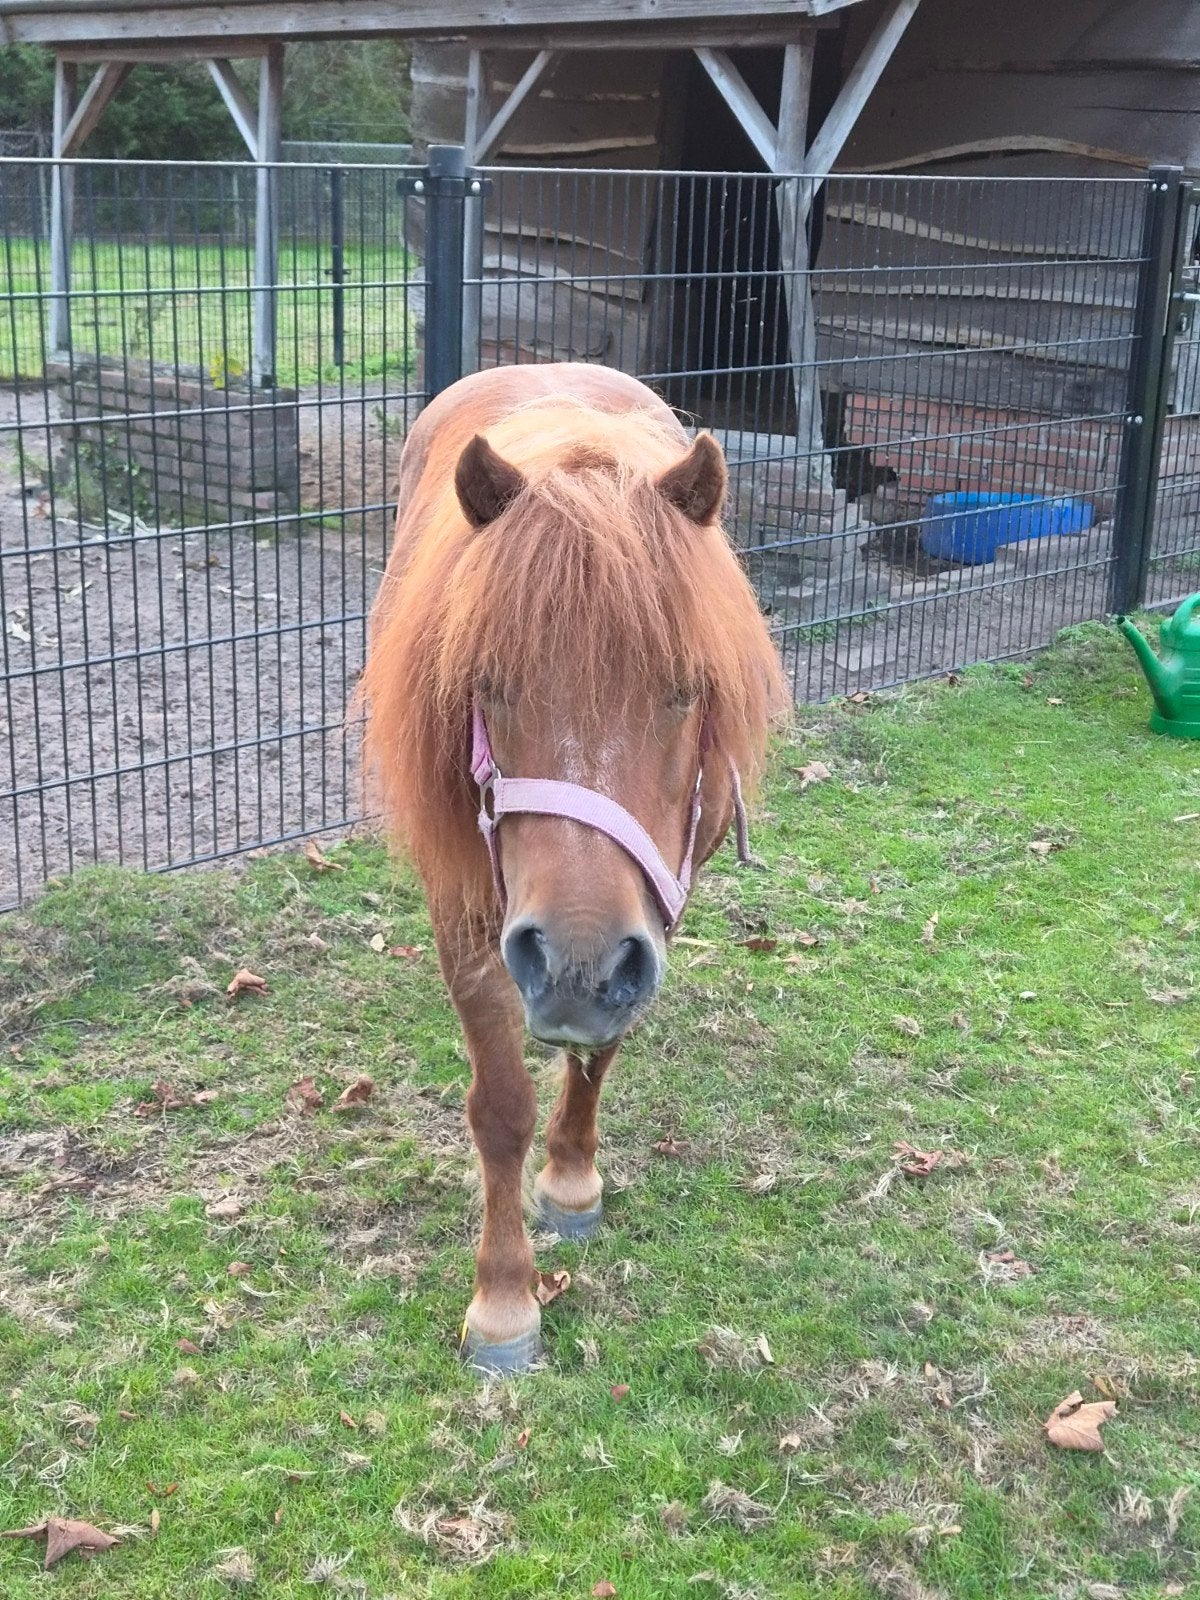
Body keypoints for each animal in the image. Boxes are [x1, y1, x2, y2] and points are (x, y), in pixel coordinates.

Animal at [359, 363, 787, 1375]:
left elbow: (600, 1052)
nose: (576, 962)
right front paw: (505, 1300)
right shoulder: (468, 916)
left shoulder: (654, 912)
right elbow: (501, 1105)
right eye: (488, 683)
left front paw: (571, 1182)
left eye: (685, 690)